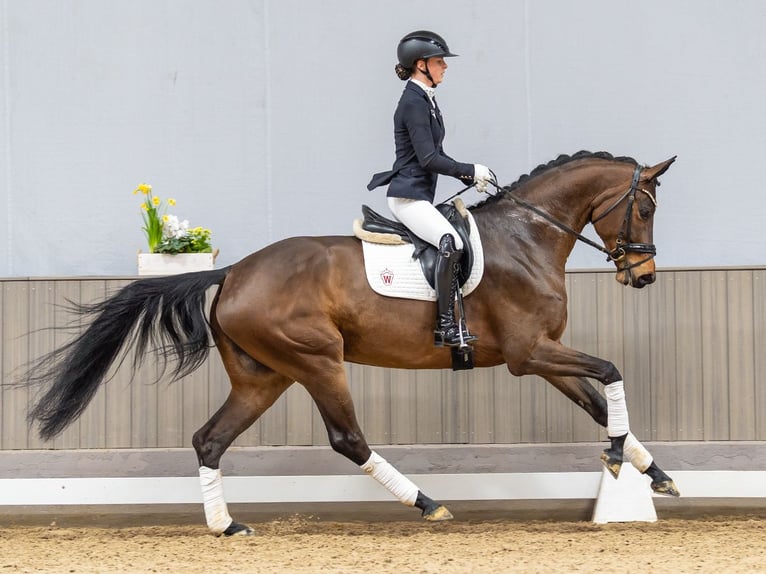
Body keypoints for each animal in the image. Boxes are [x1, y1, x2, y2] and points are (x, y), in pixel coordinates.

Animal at [24, 150, 678, 536]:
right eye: (644, 208)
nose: (643, 276)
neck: (527, 237)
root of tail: (232, 272)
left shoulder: (542, 354)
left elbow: (596, 402)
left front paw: (654, 473)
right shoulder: (527, 354)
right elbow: (612, 371)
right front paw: (621, 459)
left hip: (264, 375)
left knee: (209, 439)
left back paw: (225, 526)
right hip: (317, 361)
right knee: (348, 439)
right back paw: (427, 503)